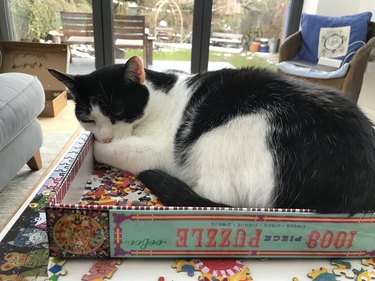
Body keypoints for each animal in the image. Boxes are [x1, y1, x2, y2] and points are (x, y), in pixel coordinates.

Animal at [49, 55, 375, 212]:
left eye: (117, 111)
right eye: (87, 118)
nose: (105, 135)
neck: (157, 96)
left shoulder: (156, 151)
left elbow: (114, 151)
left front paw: (98, 148)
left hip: (228, 133)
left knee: (211, 192)